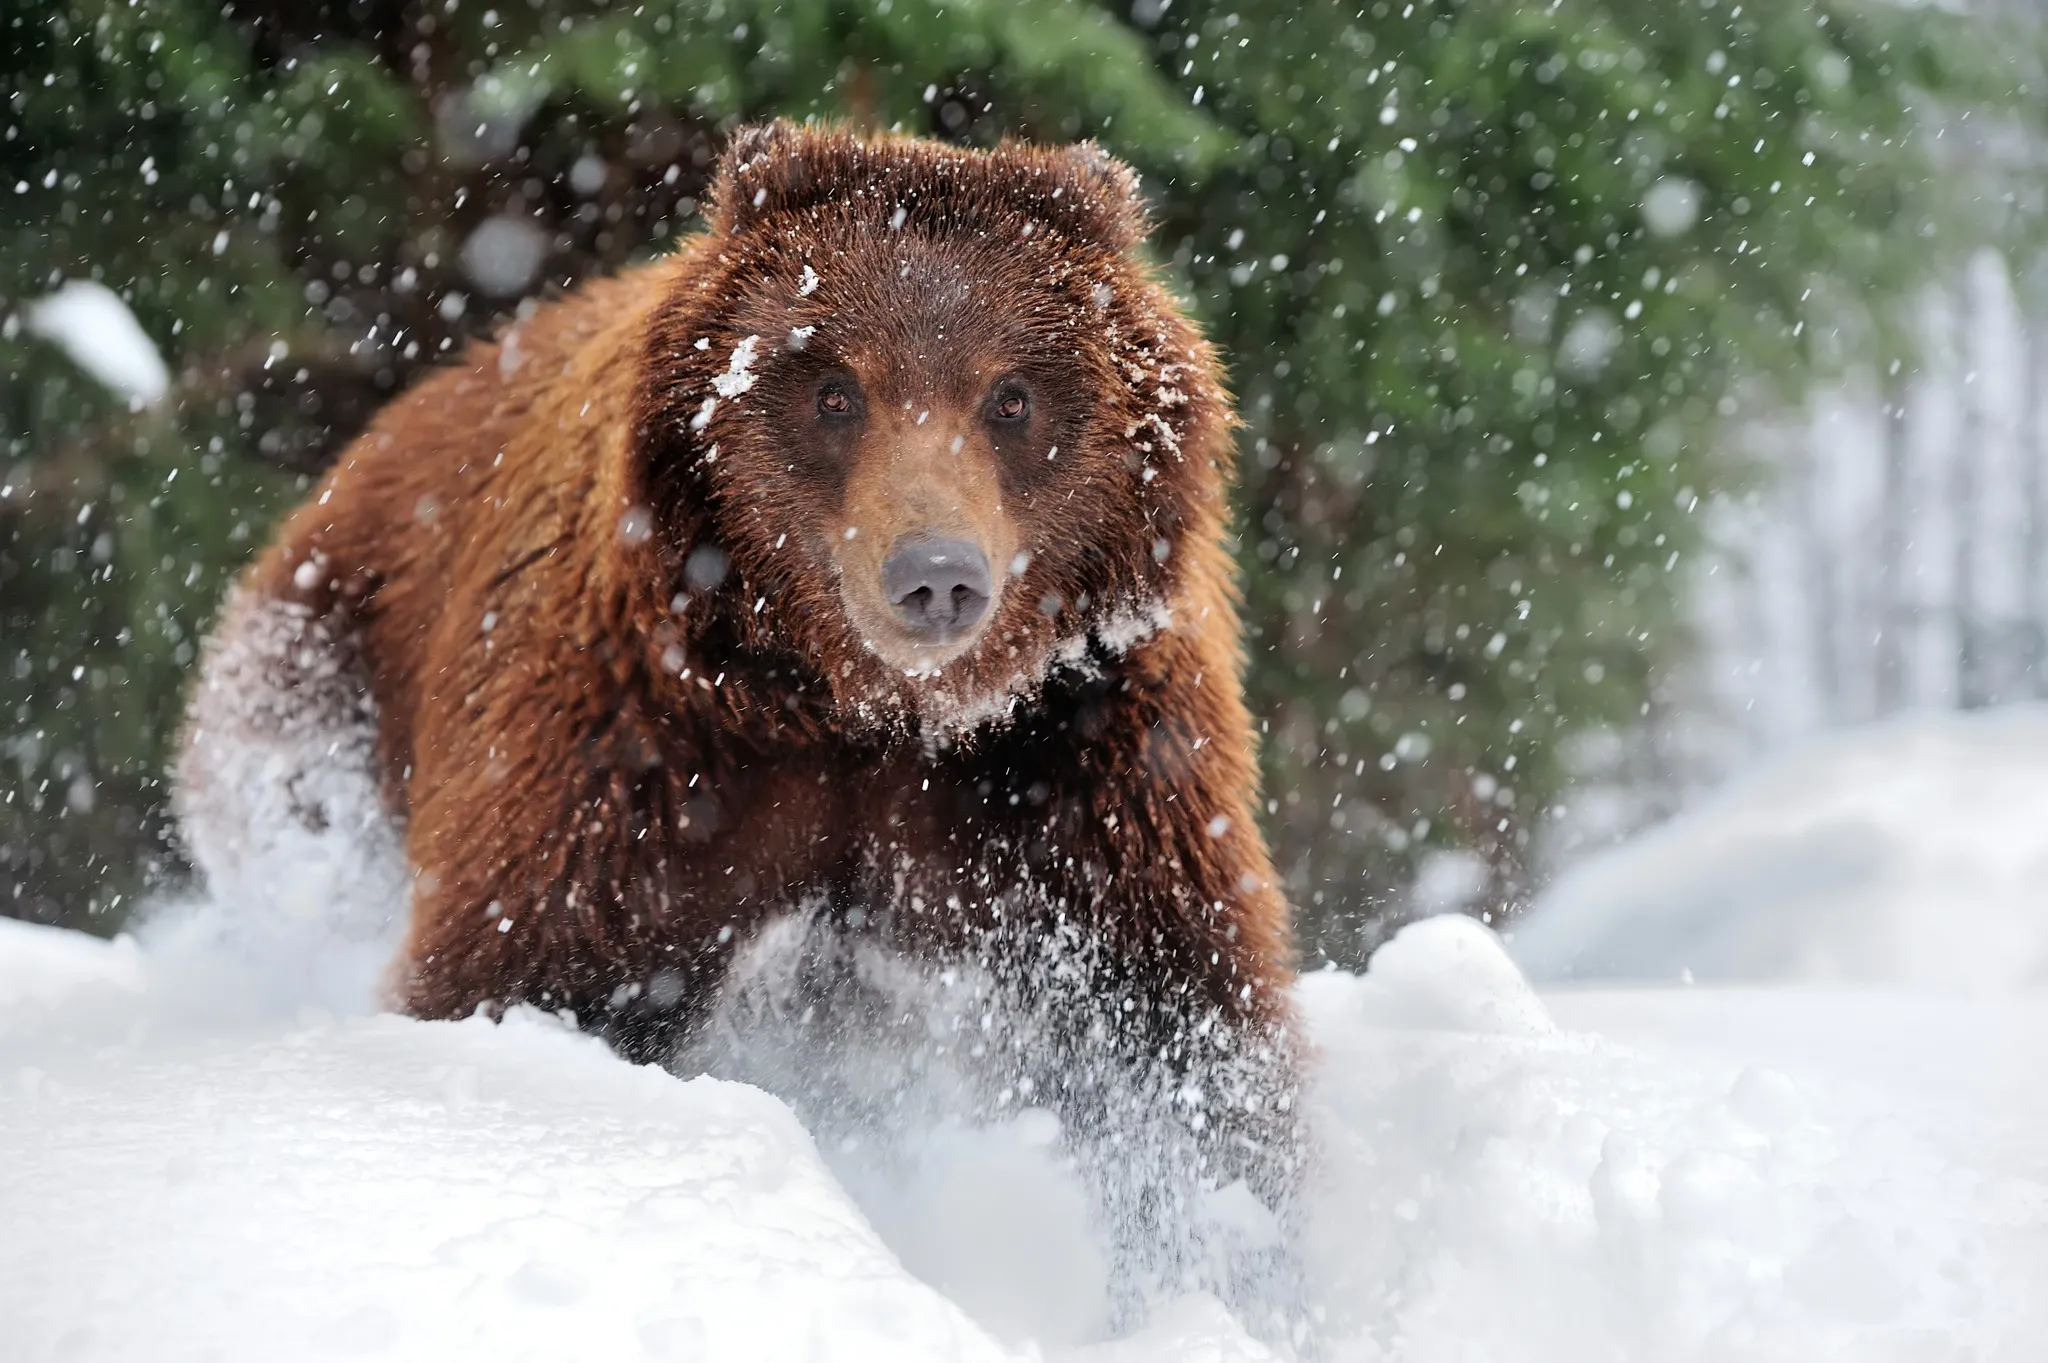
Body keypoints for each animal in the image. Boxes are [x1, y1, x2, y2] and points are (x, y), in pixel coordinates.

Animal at [172, 122, 1294, 1244]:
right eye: (836, 391)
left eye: (1009, 395)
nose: (935, 574)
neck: (864, 710)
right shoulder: (641, 746)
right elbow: (524, 962)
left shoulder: (1080, 769)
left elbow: (1173, 1052)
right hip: (319, 675)